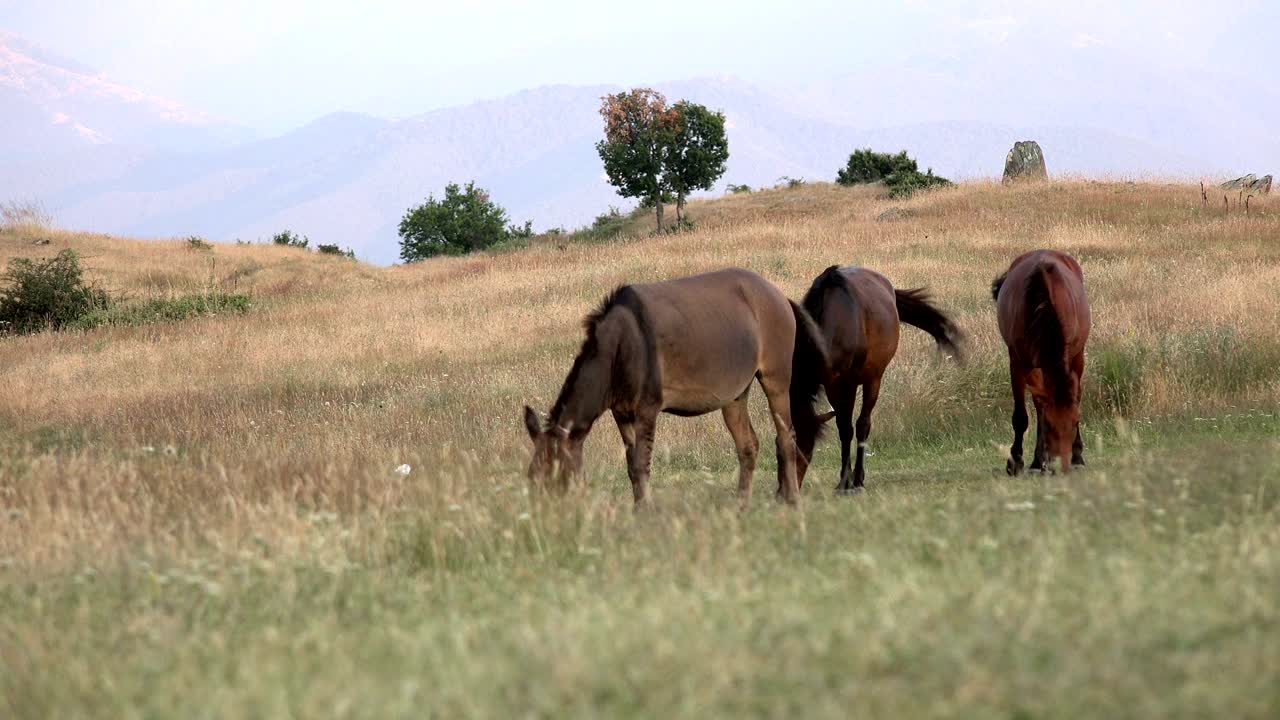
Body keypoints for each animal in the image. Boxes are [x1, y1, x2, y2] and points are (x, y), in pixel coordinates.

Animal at [522, 268, 829, 506]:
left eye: (559, 476)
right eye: (532, 477)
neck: (620, 348)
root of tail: (780, 295)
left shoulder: (647, 409)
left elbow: (641, 465)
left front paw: (645, 512)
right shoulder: (622, 413)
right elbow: (631, 467)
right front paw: (639, 509)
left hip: (776, 379)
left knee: (786, 437)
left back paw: (791, 500)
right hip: (734, 395)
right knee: (748, 445)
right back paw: (741, 506)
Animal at [796, 265, 963, 494]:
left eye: (806, 447)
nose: (791, 483)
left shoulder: (847, 383)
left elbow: (849, 428)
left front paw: (848, 481)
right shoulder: (832, 385)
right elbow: (842, 427)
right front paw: (843, 480)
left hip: (873, 379)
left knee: (863, 424)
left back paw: (858, 478)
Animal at [992, 249, 1091, 475]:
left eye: (1075, 422)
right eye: (1049, 425)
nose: (1062, 465)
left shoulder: (1071, 359)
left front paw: (1076, 457)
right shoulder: (1018, 363)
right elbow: (1021, 417)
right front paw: (1015, 462)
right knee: (1040, 405)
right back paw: (1038, 461)